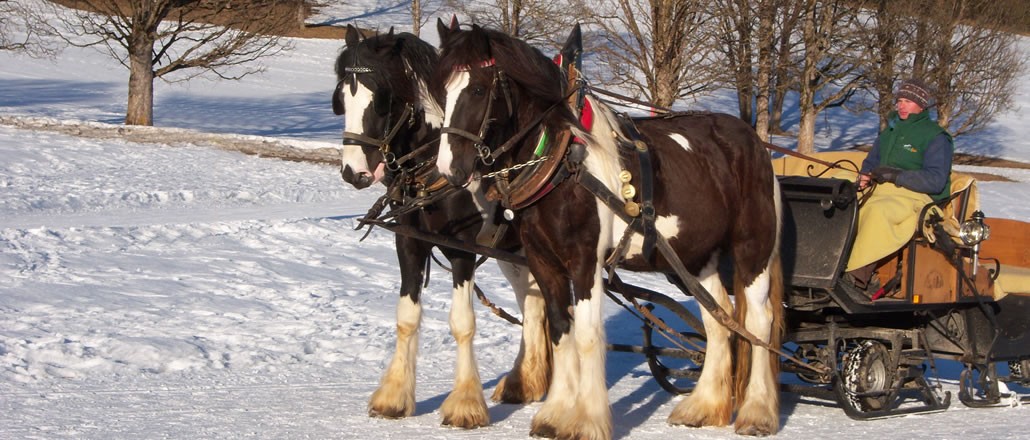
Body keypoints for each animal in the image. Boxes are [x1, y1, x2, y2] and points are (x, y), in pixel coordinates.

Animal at [333, 24, 552, 430]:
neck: (432, 168)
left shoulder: (464, 251)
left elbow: (462, 322)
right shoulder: (409, 244)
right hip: (515, 252)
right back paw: (525, 381)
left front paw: (465, 404)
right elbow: (406, 317)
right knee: (533, 305)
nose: (353, 172)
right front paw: (394, 397)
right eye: (342, 98)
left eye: (381, 99)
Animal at [430, 19, 782, 436]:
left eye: (479, 89)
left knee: (759, 323)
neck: (563, 163)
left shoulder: (586, 261)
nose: (449, 168)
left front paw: (587, 420)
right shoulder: (544, 262)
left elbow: (587, 336)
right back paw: (703, 406)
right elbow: (560, 328)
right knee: (719, 320)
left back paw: (757, 411)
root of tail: (754, 142)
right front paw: (555, 413)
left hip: (752, 249)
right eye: (441, 89)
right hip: (695, 257)